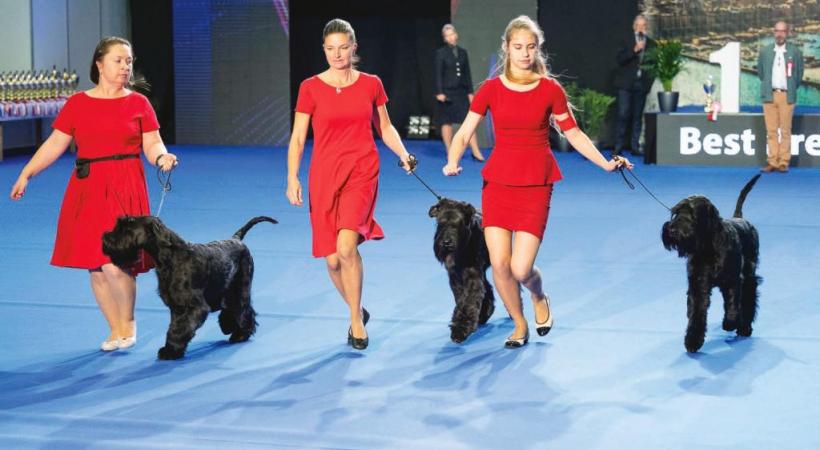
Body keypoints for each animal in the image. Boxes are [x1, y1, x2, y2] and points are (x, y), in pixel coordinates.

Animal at [101, 216, 276, 360]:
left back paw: (240, 335)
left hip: (240, 287)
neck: (171, 258)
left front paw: (170, 351)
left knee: (244, 309)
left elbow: (178, 329)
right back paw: (228, 327)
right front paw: (172, 350)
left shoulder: (194, 307)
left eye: (127, 227)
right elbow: (175, 326)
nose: (105, 238)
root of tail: (237, 239)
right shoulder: (176, 307)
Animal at [430, 199, 494, 342]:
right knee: (487, 287)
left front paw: (460, 330)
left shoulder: (472, 276)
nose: (446, 242)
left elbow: (468, 300)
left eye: (458, 223)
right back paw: (485, 312)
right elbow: (461, 299)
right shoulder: (455, 278)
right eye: (440, 223)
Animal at [660, 174, 764, 354]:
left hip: (749, 274)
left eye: (692, 213)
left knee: (748, 297)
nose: (671, 230)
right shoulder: (698, 285)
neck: (708, 246)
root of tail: (740, 218)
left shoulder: (733, 280)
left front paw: (730, 322)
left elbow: (732, 303)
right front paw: (693, 340)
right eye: (675, 212)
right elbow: (696, 313)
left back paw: (744, 327)